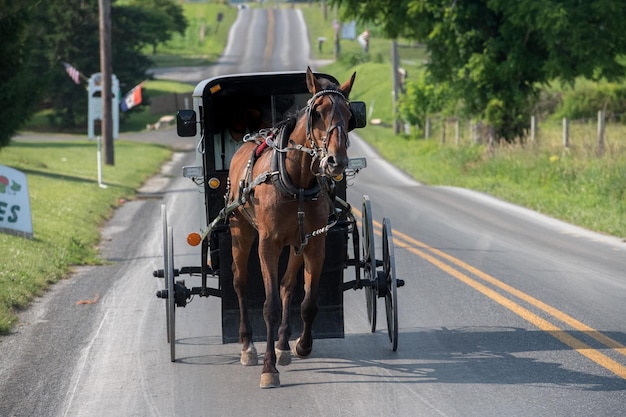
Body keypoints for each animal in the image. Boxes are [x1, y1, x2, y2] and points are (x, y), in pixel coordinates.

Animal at [228, 66, 356, 388]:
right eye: (318, 113)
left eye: (349, 115)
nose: (336, 161)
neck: (296, 181)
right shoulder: (268, 244)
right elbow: (270, 305)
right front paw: (268, 368)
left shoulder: (314, 243)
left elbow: (307, 302)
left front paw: (301, 345)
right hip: (240, 232)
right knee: (240, 282)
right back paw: (247, 346)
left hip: (296, 243)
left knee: (287, 286)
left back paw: (283, 345)